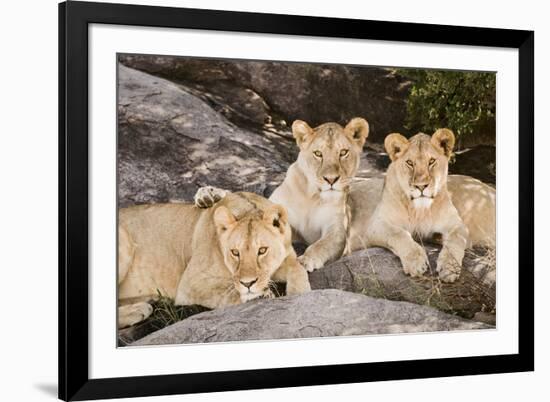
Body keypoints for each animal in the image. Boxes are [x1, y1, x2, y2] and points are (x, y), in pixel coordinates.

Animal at [117, 191, 312, 326]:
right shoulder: (190, 283)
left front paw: (298, 293)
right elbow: (228, 291)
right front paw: (258, 295)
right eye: (235, 252)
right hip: (124, 242)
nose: (248, 283)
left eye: (262, 250)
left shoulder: (286, 256)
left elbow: (298, 267)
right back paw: (138, 309)